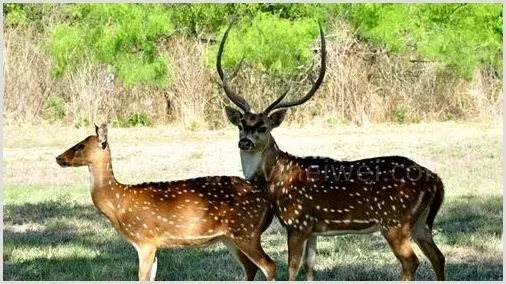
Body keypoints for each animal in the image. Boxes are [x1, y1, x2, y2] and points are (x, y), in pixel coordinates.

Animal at [55, 123, 274, 280]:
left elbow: (142, 278)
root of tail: (267, 202)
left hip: (246, 232)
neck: (119, 203)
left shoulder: (145, 239)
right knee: (251, 268)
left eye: (81, 145)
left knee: (269, 265)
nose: (58, 157)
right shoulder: (153, 245)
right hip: (230, 237)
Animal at [217, 21, 442, 280]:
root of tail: (435, 179)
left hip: (395, 221)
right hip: (420, 224)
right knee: (438, 257)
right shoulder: (314, 229)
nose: (244, 142)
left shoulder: (298, 222)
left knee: (411, 261)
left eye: (263, 127)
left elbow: (292, 269)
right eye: (241, 125)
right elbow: (310, 266)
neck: (275, 181)